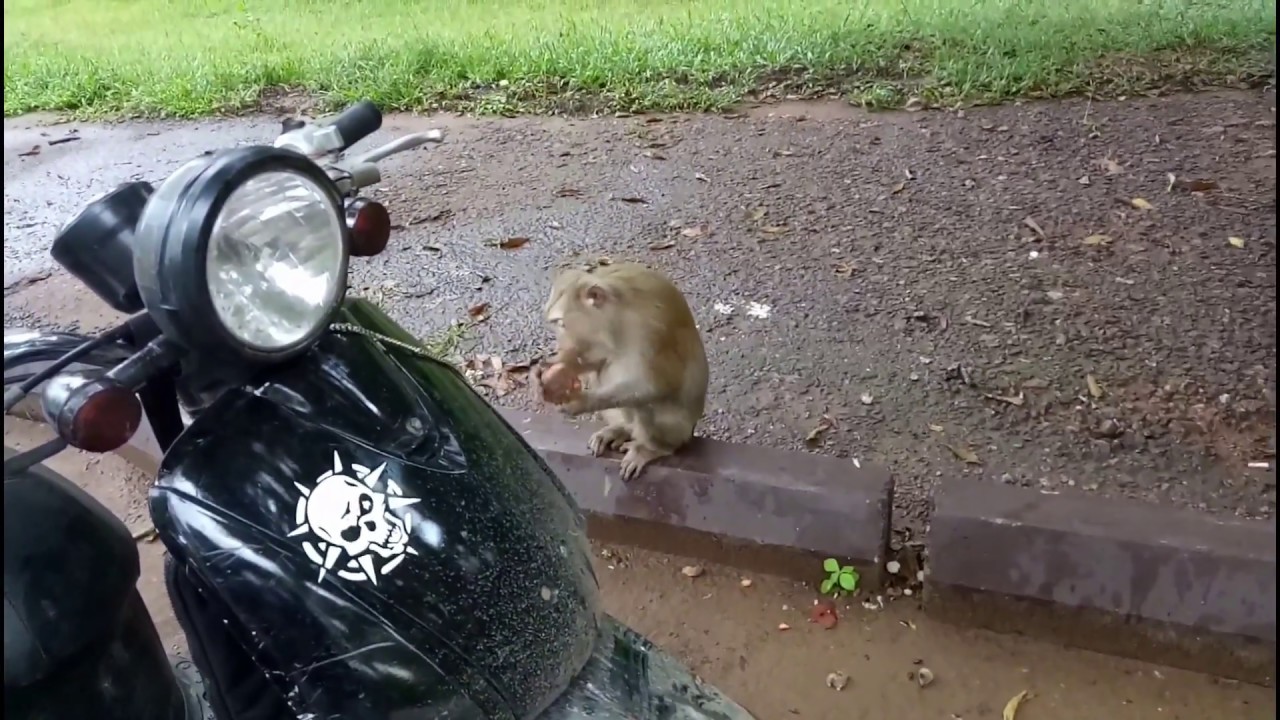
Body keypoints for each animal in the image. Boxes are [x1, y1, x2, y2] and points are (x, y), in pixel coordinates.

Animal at [535, 261, 709, 481]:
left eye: (561, 323)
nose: (560, 346)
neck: (618, 315)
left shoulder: (650, 330)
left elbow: (654, 386)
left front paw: (580, 402)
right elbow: (598, 359)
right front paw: (555, 368)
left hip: (679, 431)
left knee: (645, 405)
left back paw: (652, 448)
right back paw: (621, 429)